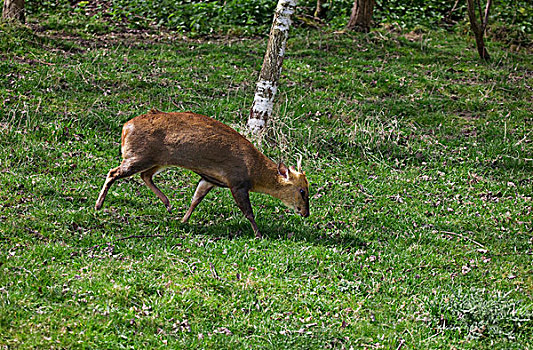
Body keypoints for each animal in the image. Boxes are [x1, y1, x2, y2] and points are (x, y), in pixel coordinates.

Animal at [94, 109, 310, 238]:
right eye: (302, 191)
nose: (306, 213)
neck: (254, 172)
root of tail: (125, 127)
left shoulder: (210, 179)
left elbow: (195, 199)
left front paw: (183, 220)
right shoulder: (237, 181)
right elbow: (248, 211)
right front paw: (258, 234)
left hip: (157, 160)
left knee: (145, 176)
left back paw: (168, 204)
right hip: (138, 156)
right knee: (113, 172)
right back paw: (98, 205)